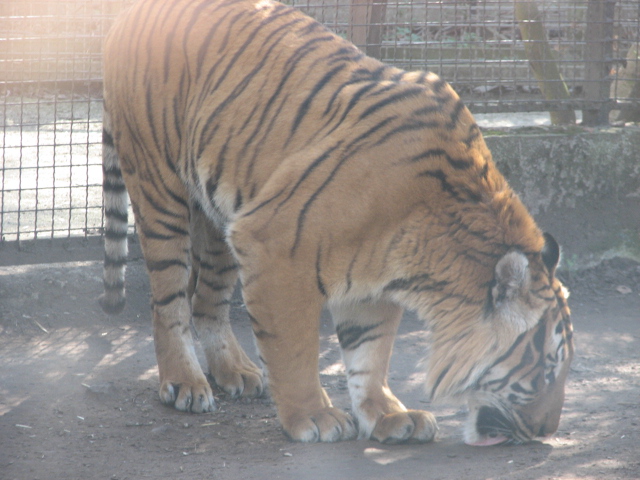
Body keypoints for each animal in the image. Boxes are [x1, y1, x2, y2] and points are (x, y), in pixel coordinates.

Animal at [99, 0, 574, 445]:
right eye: (546, 371)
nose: (548, 431)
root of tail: (126, 13)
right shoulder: (273, 248)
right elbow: (295, 350)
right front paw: (314, 416)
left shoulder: (372, 281)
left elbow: (370, 354)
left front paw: (388, 416)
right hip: (160, 190)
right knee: (169, 300)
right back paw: (184, 382)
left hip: (218, 217)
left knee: (208, 301)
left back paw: (235, 372)